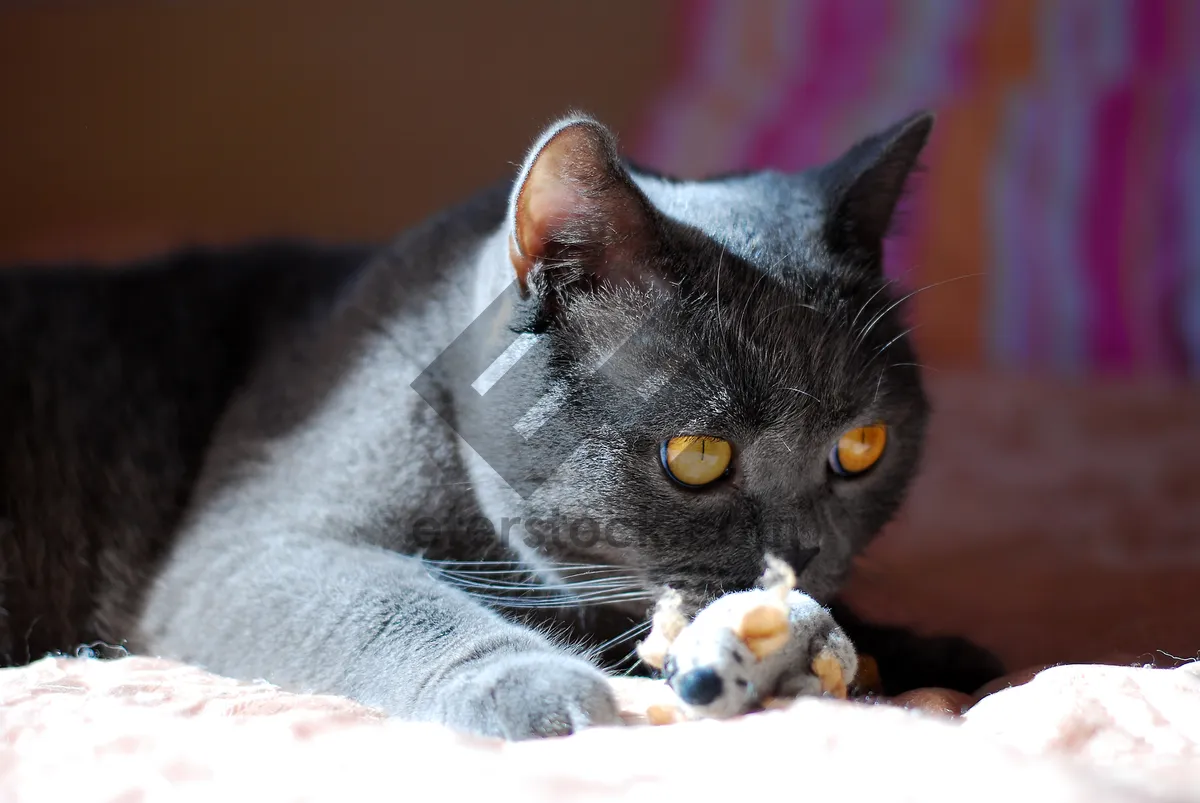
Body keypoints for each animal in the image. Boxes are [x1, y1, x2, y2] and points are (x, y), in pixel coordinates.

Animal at [0, 111, 1003, 739]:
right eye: (697, 457)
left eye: (861, 448)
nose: (804, 552)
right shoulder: (247, 545)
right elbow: (392, 601)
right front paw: (533, 682)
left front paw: (927, 649)